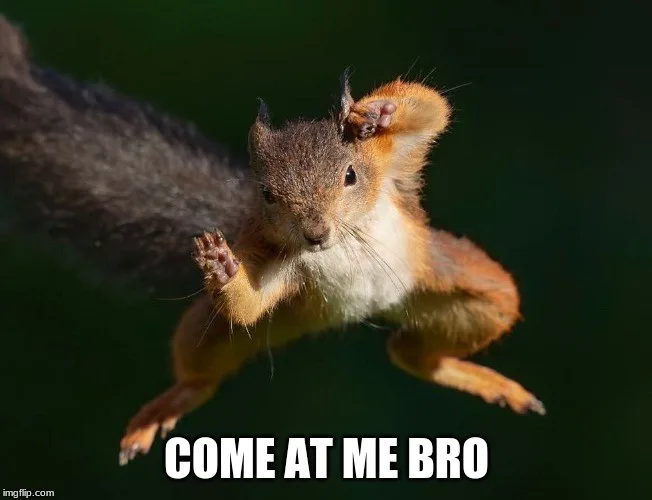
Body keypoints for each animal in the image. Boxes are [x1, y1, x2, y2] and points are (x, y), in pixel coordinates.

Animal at [0, 15, 545, 467]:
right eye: (266, 194)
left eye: (351, 175)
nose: (316, 234)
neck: (341, 241)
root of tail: (365, 312)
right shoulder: (280, 265)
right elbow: (249, 301)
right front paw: (221, 268)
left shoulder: (393, 165)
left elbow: (432, 108)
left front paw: (373, 111)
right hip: (246, 325)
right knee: (210, 363)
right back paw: (173, 401)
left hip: (463, 288)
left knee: (423, 350)